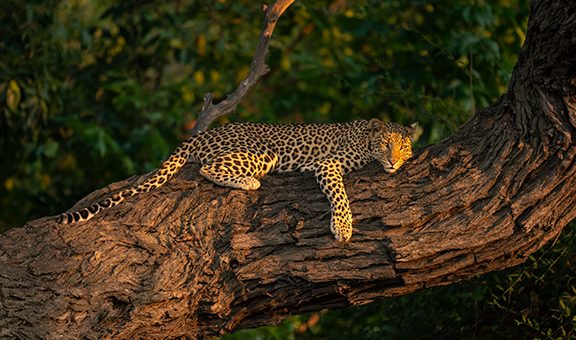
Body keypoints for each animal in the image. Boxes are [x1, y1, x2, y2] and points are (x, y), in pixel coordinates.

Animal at [58, 119, 416, 242]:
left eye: (403, 146)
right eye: (386, 144)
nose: (394, 160)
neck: (366, 140)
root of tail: (204, 133)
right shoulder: (328, 164)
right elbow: (340, 196)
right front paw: (342, 227)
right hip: (263, 151)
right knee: (207, 168)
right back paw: (249, 182)